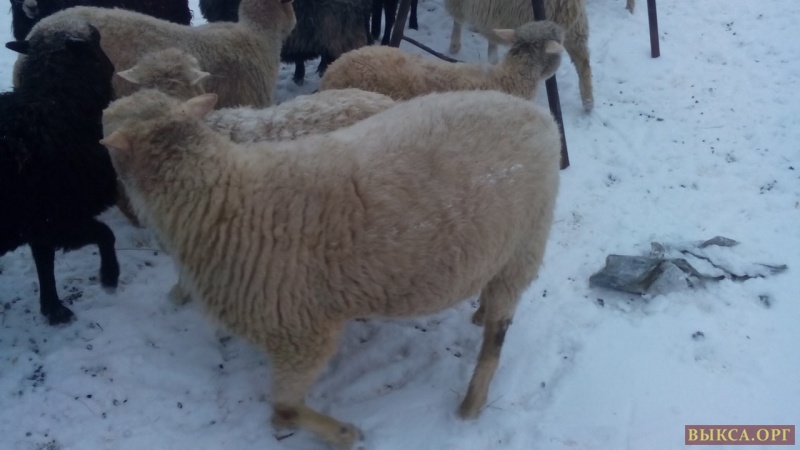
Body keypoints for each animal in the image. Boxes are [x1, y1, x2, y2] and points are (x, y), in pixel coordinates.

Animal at [1, 20, 119, 325]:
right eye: (96, 37)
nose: (112, 64)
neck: (56, 99)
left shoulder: (38, 221)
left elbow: (44, 263)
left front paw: (53, 309)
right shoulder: (58, 218)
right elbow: (105, 234)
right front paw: (109, 277)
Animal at [100, 87, 561, 449]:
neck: (222, 197)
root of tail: (539, 116)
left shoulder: (301, 335)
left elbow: (282, 410)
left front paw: (342, 434)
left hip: (527, 242)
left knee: (497, 338)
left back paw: (471, 402)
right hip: (506, 248)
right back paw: (479, 311)